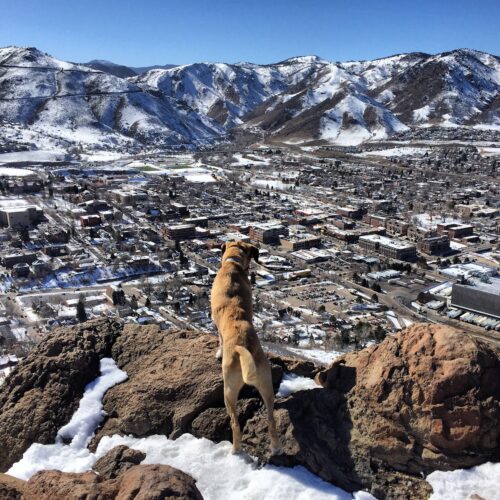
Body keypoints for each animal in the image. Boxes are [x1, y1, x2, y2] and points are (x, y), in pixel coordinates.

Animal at [210, 240, 282, 456]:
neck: (233, 265)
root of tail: (243, 348)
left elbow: (219, 338)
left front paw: (218, 352)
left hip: (228, 391)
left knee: (234, 422)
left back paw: (235, 450)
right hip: (266, 384)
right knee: (271, 418)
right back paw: (276, 448)